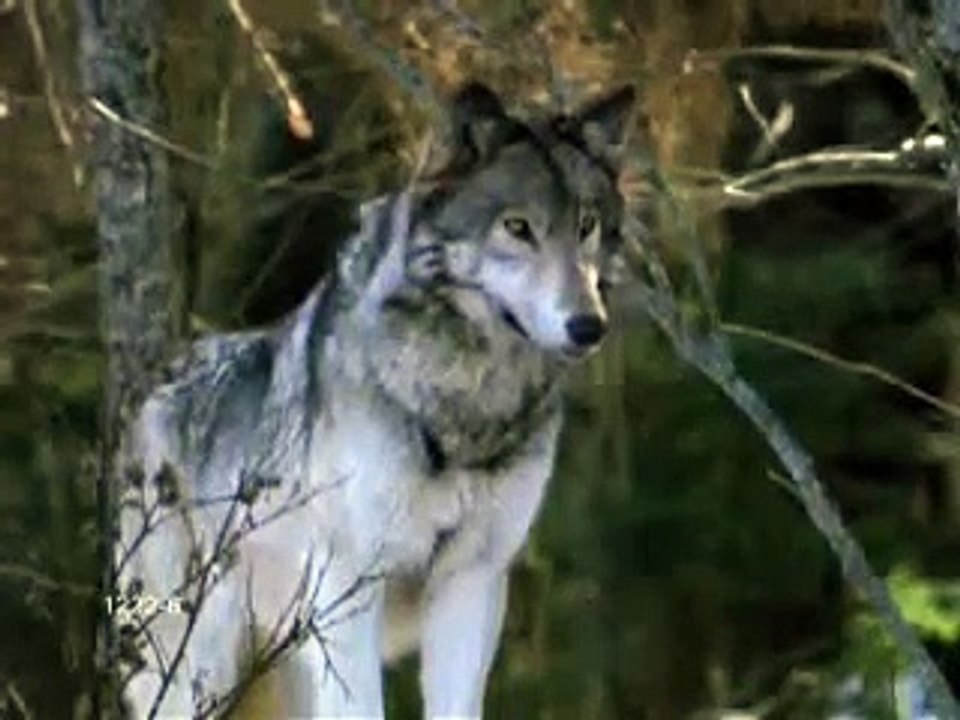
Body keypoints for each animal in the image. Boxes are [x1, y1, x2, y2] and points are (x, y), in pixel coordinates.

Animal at [117, 81, 635, 719]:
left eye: (587, 225)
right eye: (517, 227)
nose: (588, 326)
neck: (467, 400)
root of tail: (149, 393)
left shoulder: (473, 582)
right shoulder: (347, 587)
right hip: (203, 666)